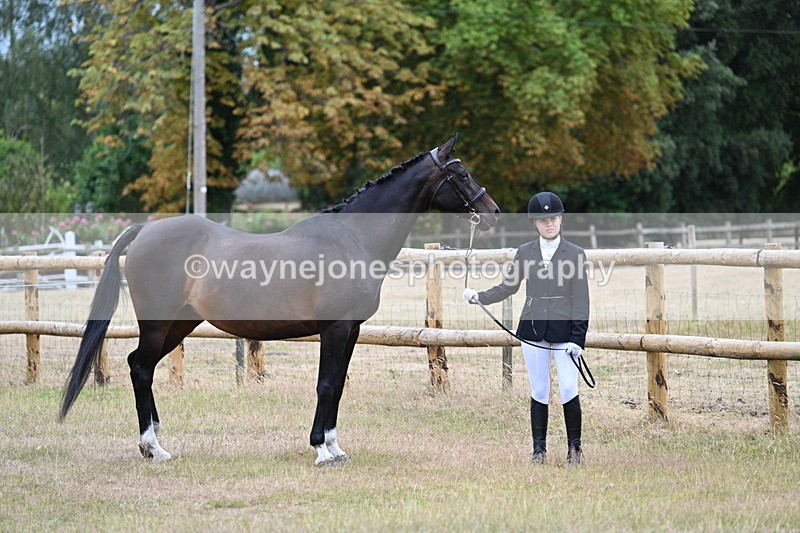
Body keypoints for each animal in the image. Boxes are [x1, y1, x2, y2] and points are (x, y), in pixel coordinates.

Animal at [58, 134, 500, 466]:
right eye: (461, 172)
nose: (492, 210)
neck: (351, 239)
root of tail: (144, 231)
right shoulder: (335, 329)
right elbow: (326, 384)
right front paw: (322, 450)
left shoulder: (351, 330)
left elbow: (337, 386)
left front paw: (335, 447)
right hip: (158, 323)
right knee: (140, 368)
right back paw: (154, 448)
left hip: (179, 324)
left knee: (141, 366)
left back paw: (152, 446)